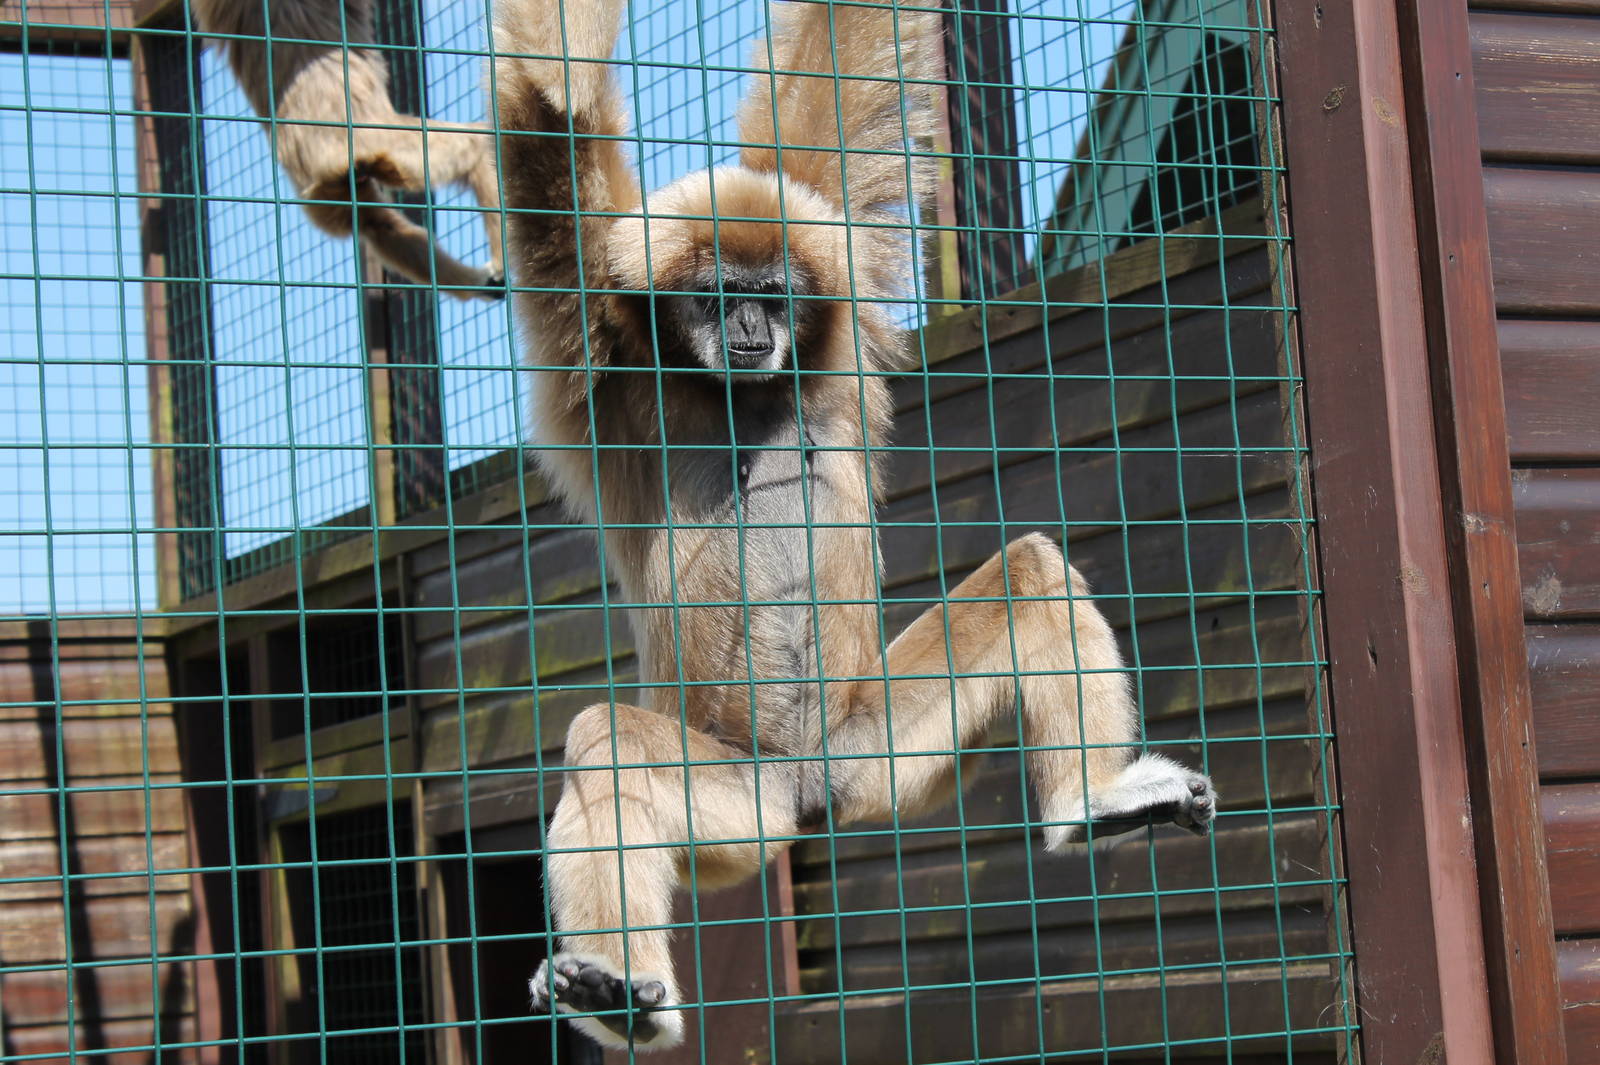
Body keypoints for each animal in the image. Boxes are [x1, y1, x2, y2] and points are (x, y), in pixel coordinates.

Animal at [491, 0, 1217, 1050]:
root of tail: (805, 796)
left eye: (772, 297)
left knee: (1031, 570)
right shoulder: (604, 355)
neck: (739, 395)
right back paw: (618, 998)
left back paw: (1090, 802)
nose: (753, 333)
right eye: (720, 297)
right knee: (606, 741)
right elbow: (551, 125)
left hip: (875, 754)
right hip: (735, 807)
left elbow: (847, 61)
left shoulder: (836, 297)